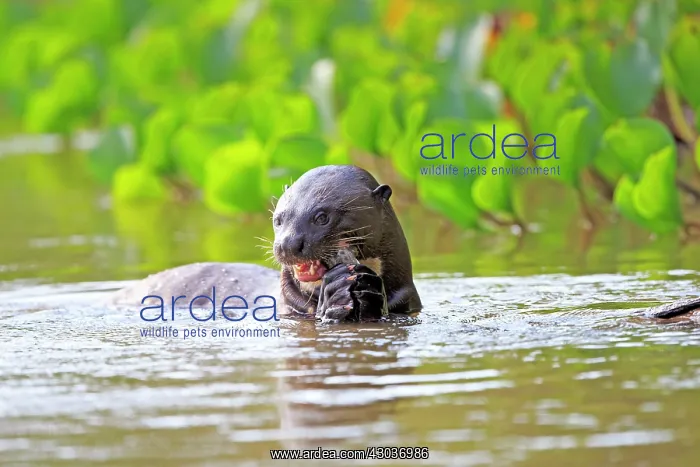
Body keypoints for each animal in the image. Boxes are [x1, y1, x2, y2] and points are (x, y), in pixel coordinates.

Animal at [111, 164, 699, 322]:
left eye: (321, 215)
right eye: (278, 218)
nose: (290, 245)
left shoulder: (411, 300)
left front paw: (365, 291)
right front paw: (339, 297)